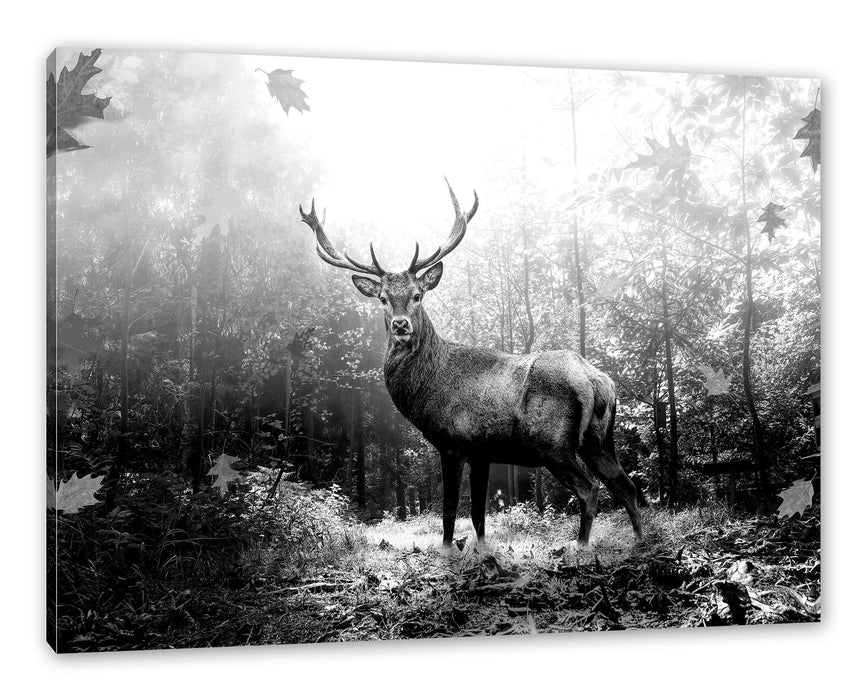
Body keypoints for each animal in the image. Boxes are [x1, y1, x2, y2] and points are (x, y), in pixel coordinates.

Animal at [298, 179, 640, 548]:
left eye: (418, 294)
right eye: (383, 299)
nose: (401, 325)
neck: (429, 387)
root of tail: (597, 380)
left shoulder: (453, 442)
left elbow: (449, 512)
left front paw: (449, 550)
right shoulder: (482, 451)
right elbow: (478, 515)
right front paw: (481, 550)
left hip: (554, 442)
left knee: (591, 489)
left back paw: (581, 546)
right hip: (600, 439)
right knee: (626, 486)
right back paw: (642, 541)